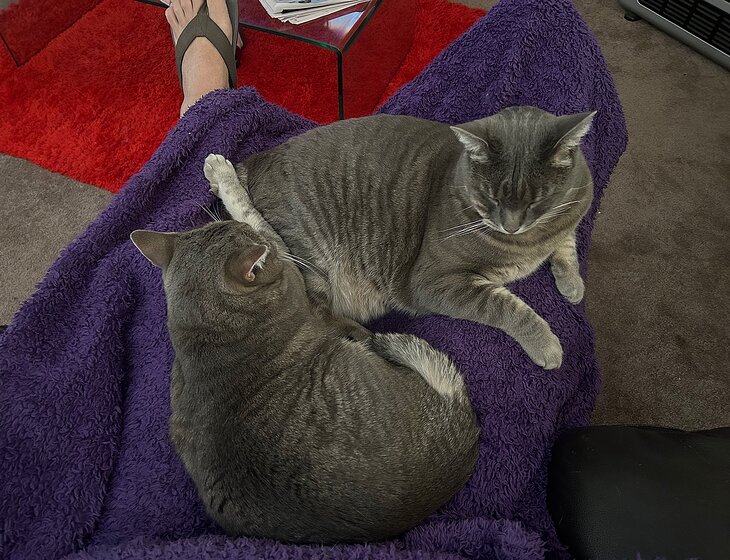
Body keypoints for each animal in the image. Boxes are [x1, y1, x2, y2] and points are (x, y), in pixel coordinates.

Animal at [129, 154, 479, 543]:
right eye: (246, 237)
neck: (208, 334)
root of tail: (461, 450)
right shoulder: (284, 258)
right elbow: (249, 210)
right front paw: (222, 173)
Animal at [219, 106, 596, 370]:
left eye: (535, 201)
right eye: (490, 198)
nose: (511, 226)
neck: (531, 241)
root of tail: (258, 159)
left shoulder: (569, 216)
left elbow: (567, 242)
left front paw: (573, 284)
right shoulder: (436, 283)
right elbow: (508, 307)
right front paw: (547, 344)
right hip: (309, 255)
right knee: (316, 316)